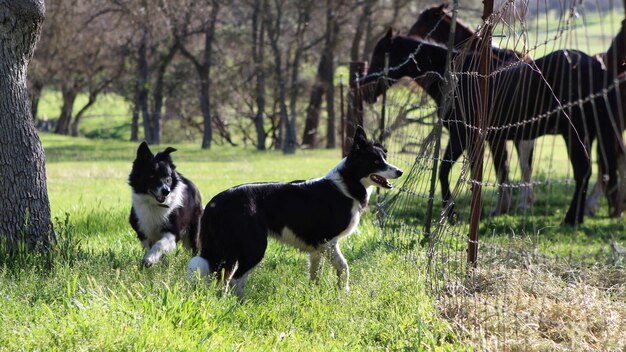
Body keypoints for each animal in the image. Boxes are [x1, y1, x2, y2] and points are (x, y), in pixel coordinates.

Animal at [185, 126, 402, 296]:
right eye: (375, 162)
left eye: (385, 158)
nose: (400, 171)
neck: (348, 183)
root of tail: (216, 202)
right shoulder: (329, 242)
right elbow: (344, 267)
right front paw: (344, 292)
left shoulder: (318, 247)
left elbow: (316, 273)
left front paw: (315, 296)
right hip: (254, 245)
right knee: (236, 280)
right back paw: (240, 304)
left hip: (230, 250)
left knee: (223, 279)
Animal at [360, 28, 620, 224]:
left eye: (382, 54)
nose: (365, 90)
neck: (457, 76)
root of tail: (597, 66)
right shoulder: (475, 139)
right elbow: (476, 172)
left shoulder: (462, 135)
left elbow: (446, 170)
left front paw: (452, 213)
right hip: (587, 134)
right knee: (588, 172)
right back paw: (578, 216)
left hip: (575, 134)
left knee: (583, 171)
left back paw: (571, 218)